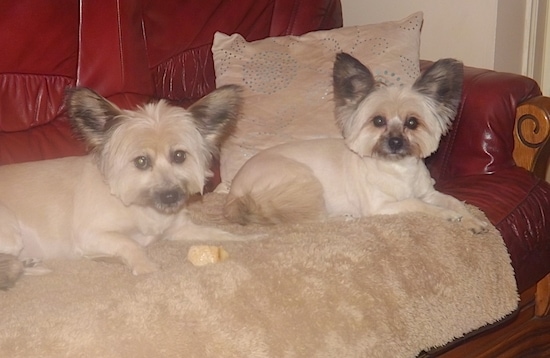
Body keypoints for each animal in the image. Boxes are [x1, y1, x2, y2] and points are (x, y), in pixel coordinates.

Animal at [0, 84, 244, 288]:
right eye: (141, 161)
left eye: (179, 156)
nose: (170, 196)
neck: (140, 206)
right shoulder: (91, 234)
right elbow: (130, 243)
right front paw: (146, 268)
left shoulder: (180, 228)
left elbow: (219, 233)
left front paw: (249, 240)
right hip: (11, 230)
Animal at [226, 51, 490, 234]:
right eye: (378, 121)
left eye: (412, 123)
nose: (395, 142)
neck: (398, 169)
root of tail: (234, 191)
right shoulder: (381, 207)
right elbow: (418, 205)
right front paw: (446, 215)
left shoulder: (428, 192)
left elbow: (454, 201)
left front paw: (472, 219)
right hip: (303, 179)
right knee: (312, 219)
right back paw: (343, 218)